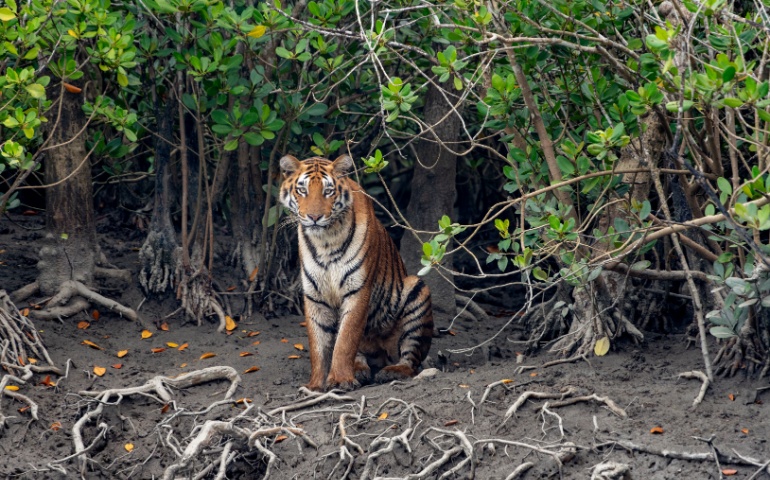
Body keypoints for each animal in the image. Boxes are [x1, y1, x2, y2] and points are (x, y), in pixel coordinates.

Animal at [278, 154, 436, 390]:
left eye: (328, 191)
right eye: (302, 190)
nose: (314, 217)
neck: (324, 241)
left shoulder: (357, 290)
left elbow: (346, 340)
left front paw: (340, 380)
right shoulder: (315, 296)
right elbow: (318, 346)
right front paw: (315, 385)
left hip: (417, 289)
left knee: (410, 360)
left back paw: (391, 372)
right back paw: (360, 369)